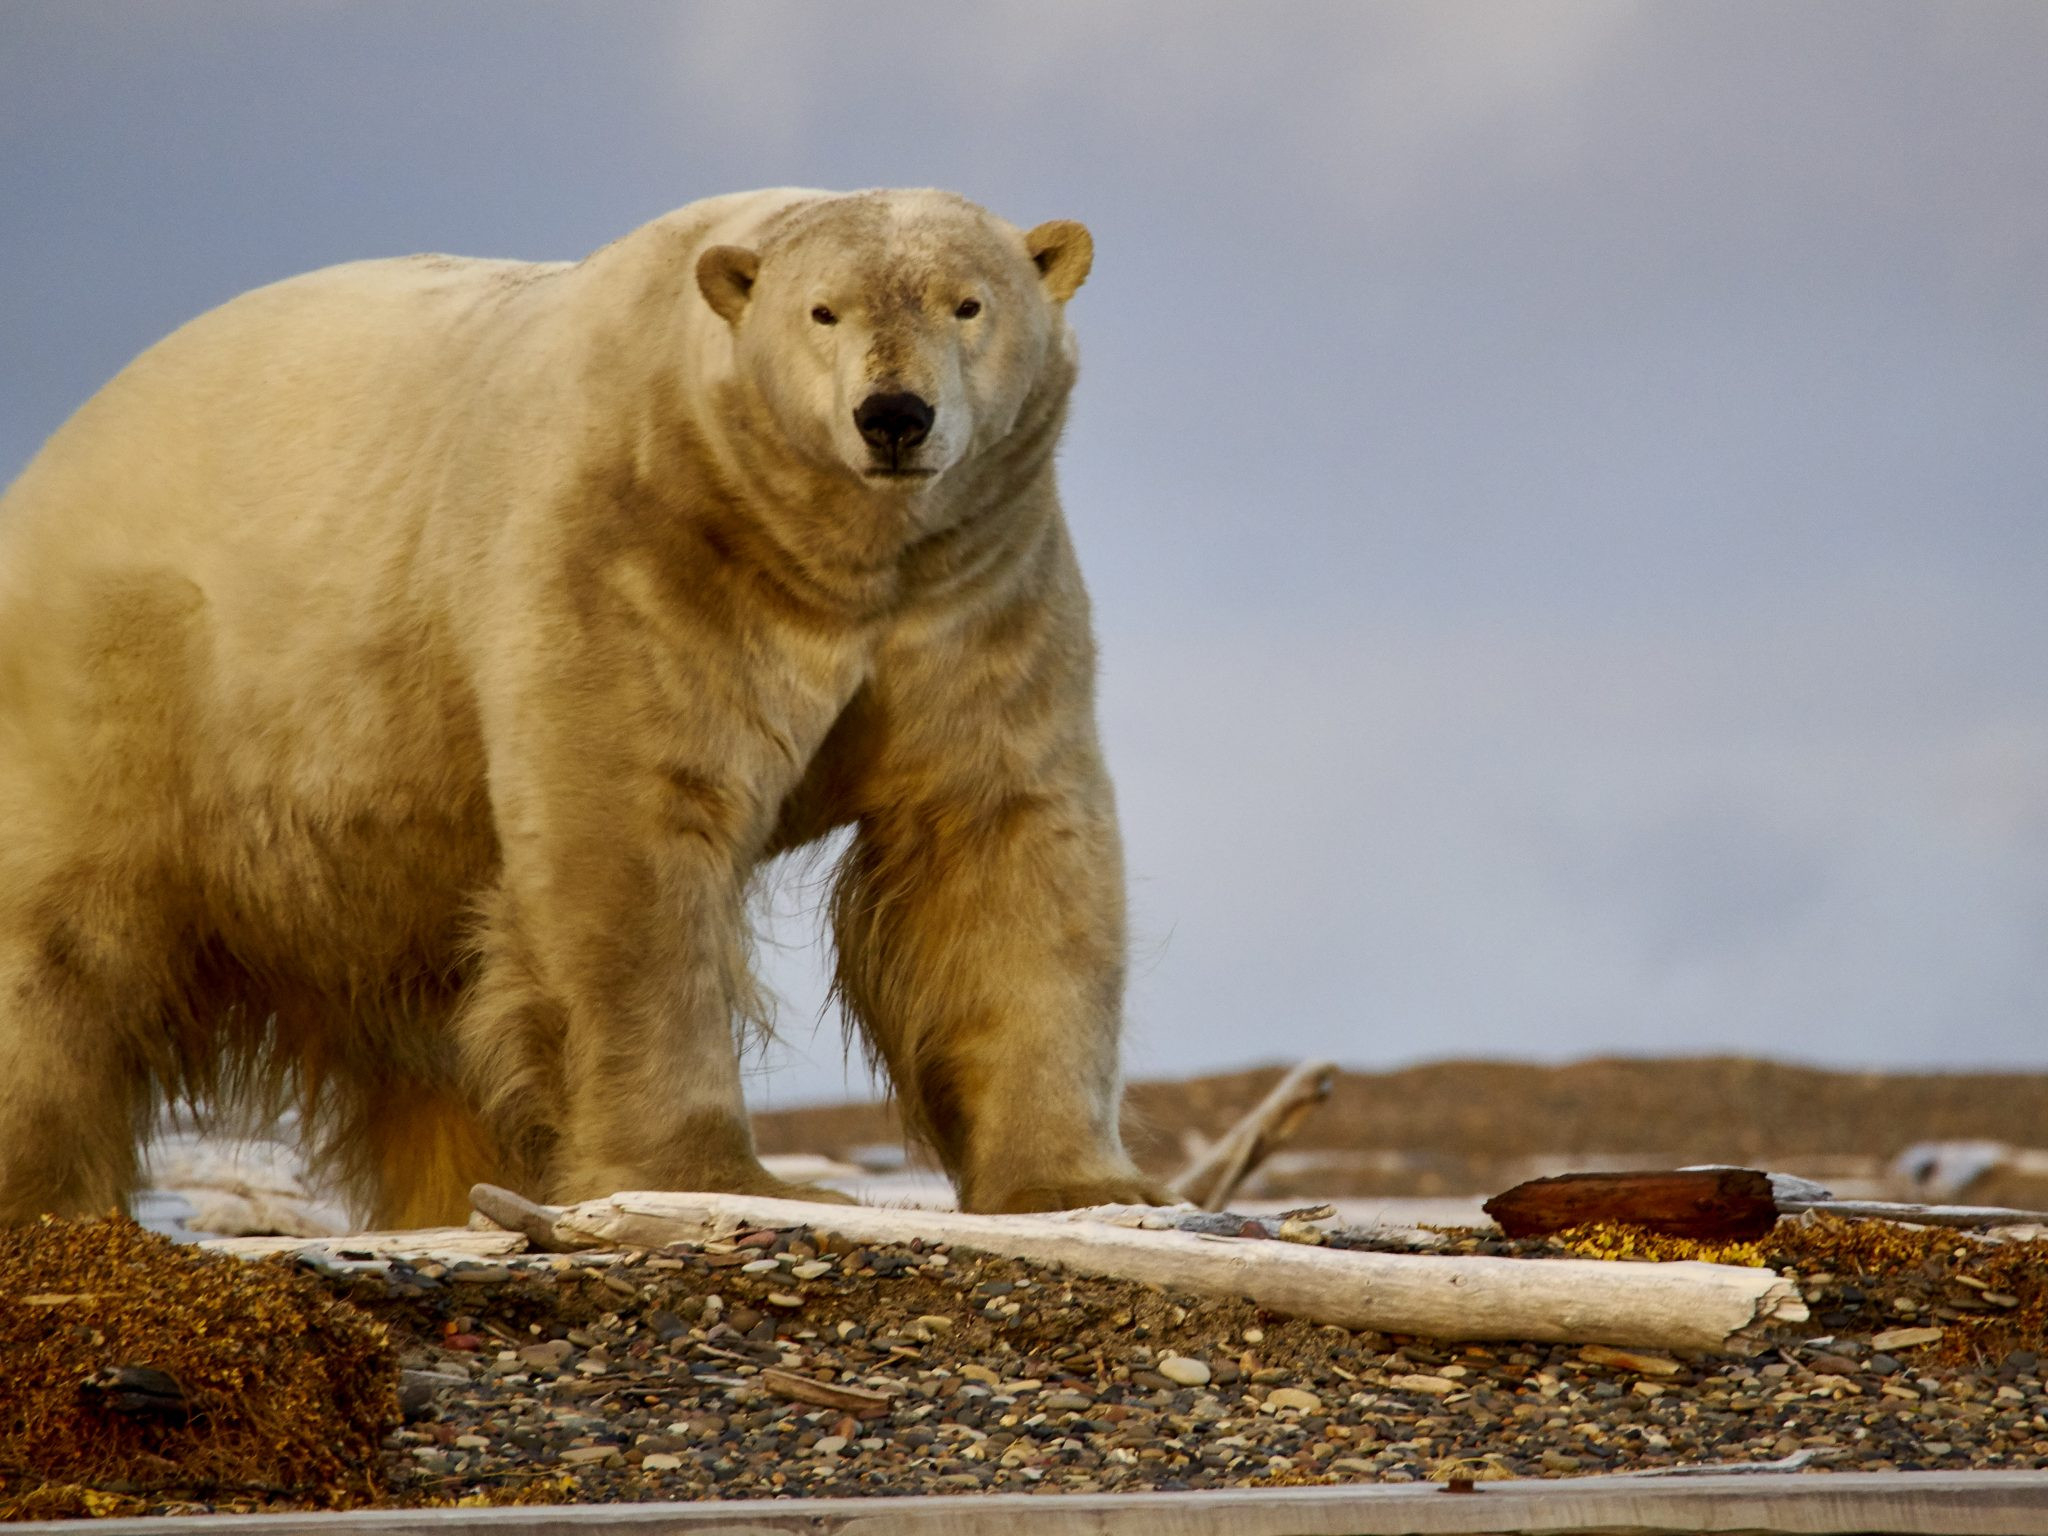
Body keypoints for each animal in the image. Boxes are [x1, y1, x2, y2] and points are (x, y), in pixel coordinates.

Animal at [0, 189, 1163, 1228]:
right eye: (821, 310)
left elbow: (1000, 847)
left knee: (428, 1019)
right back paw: (50, 1190)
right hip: (131, 680)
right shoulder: (636, 549)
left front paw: (1078, 1186)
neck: (827, 553)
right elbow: (630, 840)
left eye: (966, 303)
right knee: (62, 941)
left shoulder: (973, 593)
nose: (892, 415)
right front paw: (718, 1177)